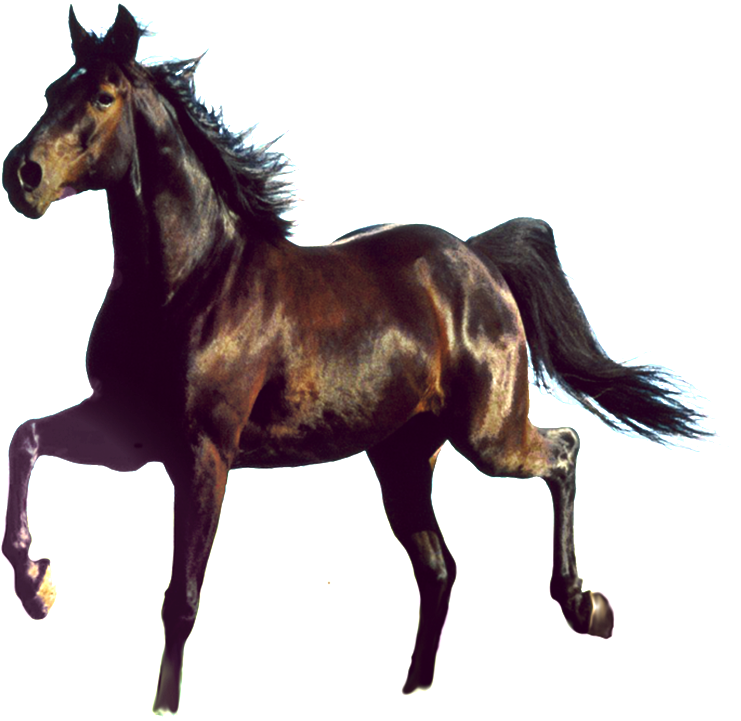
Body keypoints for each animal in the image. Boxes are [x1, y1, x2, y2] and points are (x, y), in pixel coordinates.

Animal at [2, 4, 731, 715]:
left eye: (102, 96)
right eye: (51, 92)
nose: (22, 176)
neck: (191, 282)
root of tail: (479, 259)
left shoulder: (201, 454)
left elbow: (180, 598)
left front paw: (161, 704)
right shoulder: (127, 431)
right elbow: (26, 439)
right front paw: (36, 583)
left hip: (488, 436)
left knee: (563, 450)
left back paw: (586, 606)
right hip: (403, 454)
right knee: (440, 566)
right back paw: (416, 687)